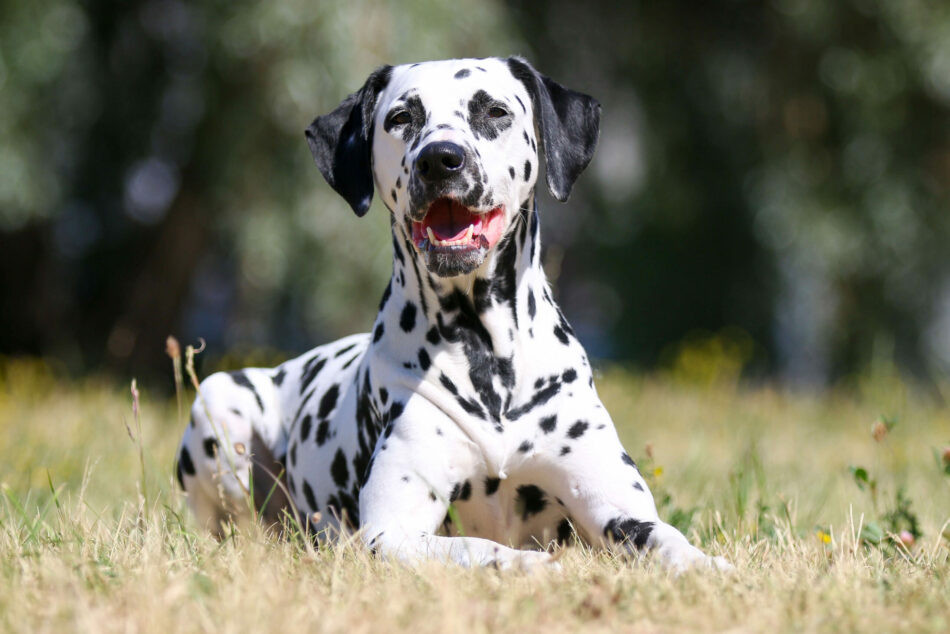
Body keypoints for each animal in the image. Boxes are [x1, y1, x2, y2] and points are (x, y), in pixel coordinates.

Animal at [177, 56, 728, 572]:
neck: (487, 354)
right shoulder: (391, 531)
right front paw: (524, 564)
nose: (441, 159)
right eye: (401, 117)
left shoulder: (615, 506)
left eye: (495, 111)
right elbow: (475, 547)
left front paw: (707, 566)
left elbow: (665, 537)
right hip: (219, 404)